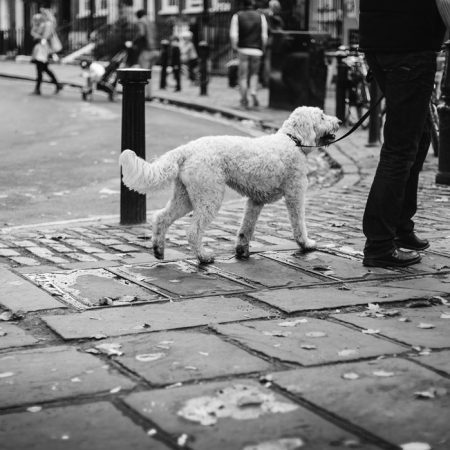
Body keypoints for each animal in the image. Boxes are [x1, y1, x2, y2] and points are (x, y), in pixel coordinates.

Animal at [119, 107, 342, 264]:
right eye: (322, 116)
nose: (339, 121)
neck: (293, 141)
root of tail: (187, 149)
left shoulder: (255, 201)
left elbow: (246, 227)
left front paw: (242, 250)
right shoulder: (295, 194)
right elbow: (299, 223)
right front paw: (306, 244)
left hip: (186, 197)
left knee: (161, 218)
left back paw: (158, 250)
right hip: (209, 196)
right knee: (193, 231)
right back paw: (203, 257)